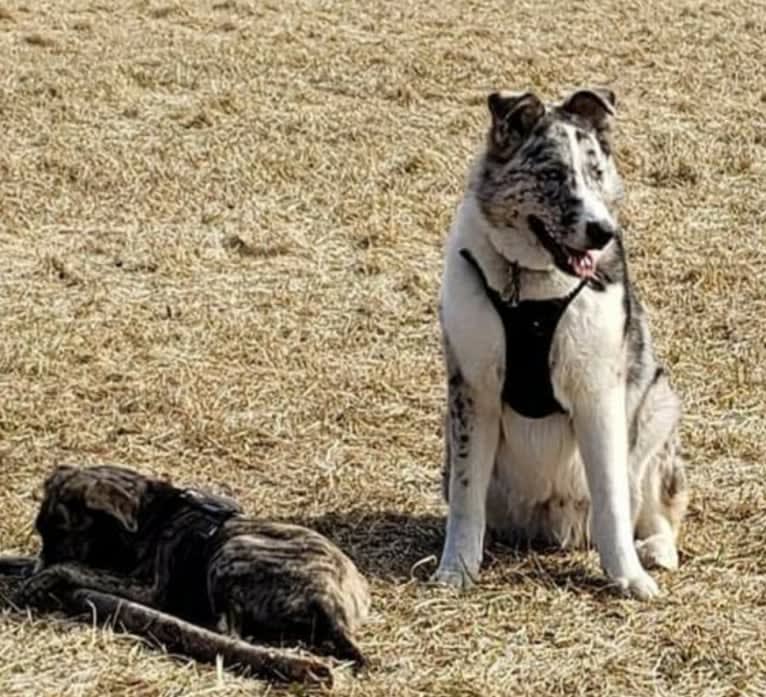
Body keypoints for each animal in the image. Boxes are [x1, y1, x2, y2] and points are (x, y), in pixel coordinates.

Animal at [18, 462, 372, 664]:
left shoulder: (147, 588)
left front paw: (44, 577)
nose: (40, 562)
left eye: (61, 531)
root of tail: (327, 602)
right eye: (40, 531)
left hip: (231, 551)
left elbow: (81, 569)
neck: (153, 515)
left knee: (229, 631)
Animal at [432, 87, 688, 600]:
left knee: (654, 512)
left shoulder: (599, 394)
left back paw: (654, 550)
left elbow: (612, 498)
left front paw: (628, 577)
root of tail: (559, 528)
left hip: (657, 408)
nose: (602, 231)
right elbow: (467, 500)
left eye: (596, 172)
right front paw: (457, 570)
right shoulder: (472, 392)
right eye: (551, 174)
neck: (528, 285)